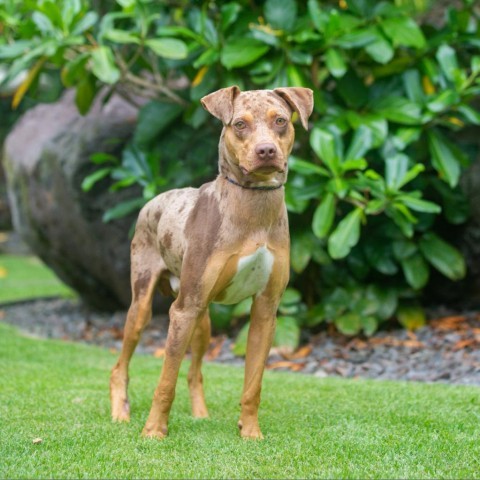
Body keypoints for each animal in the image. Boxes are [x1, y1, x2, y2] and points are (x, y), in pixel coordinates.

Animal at [109, 86, 316, 438]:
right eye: (240, 124)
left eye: (280, 121)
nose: (266, 151)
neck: (252, 208)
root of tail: (152, 201)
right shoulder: (183, 310)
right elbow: (165, 381)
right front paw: (153, 432)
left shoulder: (266, 310)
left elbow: (253, 385)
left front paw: (250, 432)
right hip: (147, 305)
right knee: (121, 364)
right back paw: (120, 413)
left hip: (202, 320)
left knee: (195, 371)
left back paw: (200, 415)